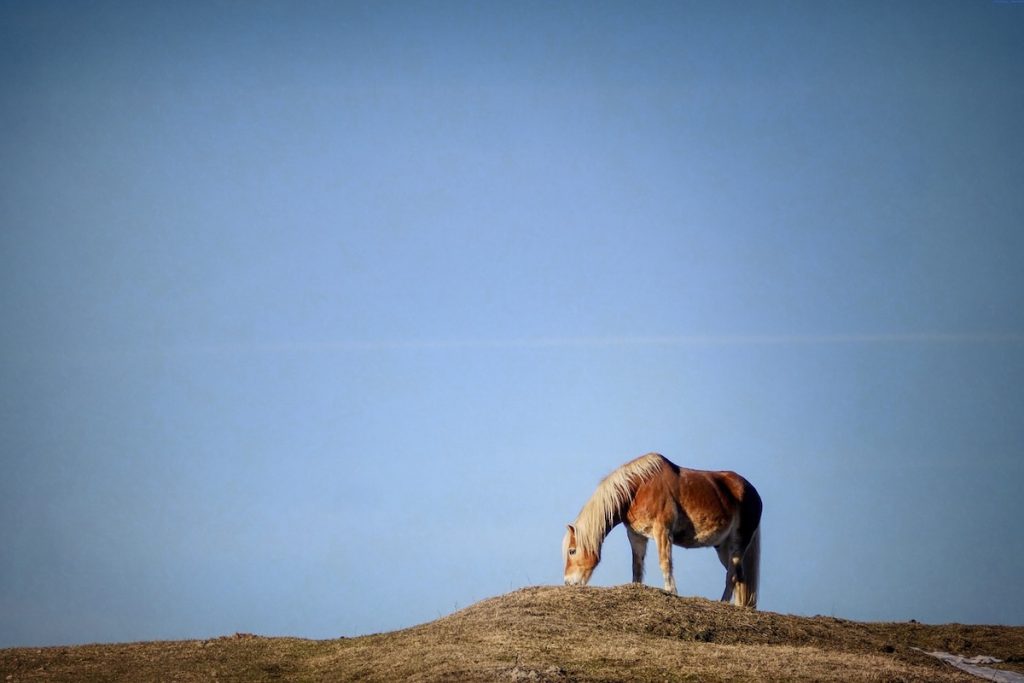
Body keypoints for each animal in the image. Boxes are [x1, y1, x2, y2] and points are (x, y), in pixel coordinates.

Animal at [562, 452, 762, 608]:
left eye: (572, 551)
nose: (568, 582)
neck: (638, 488)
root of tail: (753, 492)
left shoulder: (662, 530)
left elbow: (665, 562)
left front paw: (671, 592)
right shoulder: (636, 535)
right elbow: (637, 566)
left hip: (738, 543)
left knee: (732, 575)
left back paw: (723, 603)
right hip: (722, 547)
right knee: (739, 577)